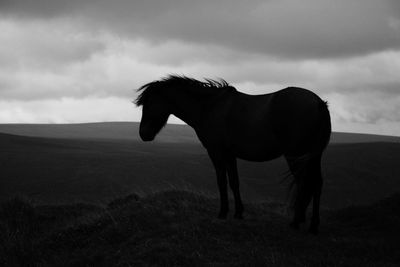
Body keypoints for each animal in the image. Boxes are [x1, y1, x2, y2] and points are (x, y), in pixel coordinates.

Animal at [134, 75, 332, 234]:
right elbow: (234, 182)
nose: (143, 134)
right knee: (316, 184)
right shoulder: (230, 154)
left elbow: (221, 182)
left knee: (305, 183)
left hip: (296, 155)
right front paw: (238, 213)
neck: (209, 107)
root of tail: (319, 103)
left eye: (149, 104)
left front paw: (223, 213)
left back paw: (297, 222)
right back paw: (312, 224)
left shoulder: (216, 152)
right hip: (313, 156)